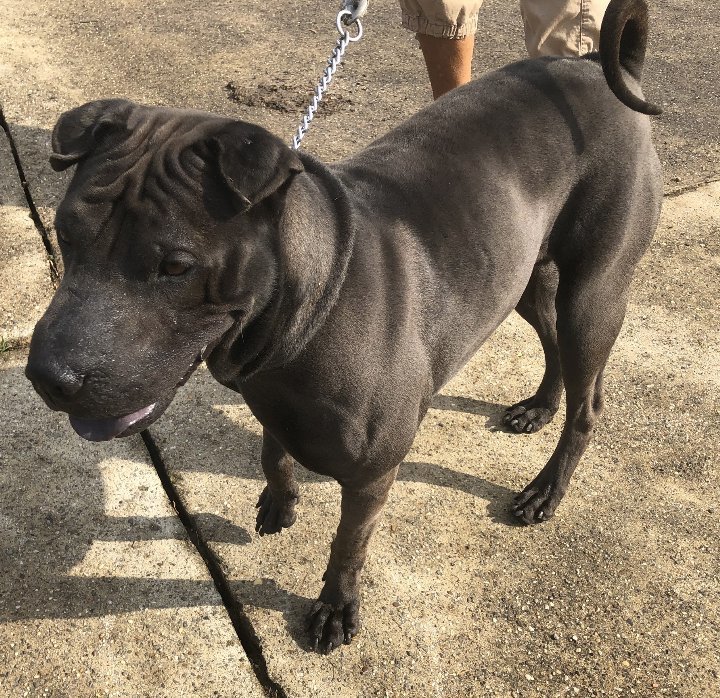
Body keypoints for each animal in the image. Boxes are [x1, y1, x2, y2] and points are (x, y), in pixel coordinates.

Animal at [26, 0, 660, 648]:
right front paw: (279, 502)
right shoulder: (271, 399)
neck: (310, 308)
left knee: (588, 400)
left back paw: (546, 489)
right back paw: (539, 406)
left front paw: (335, 606)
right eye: (65, 233)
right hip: (520, 275)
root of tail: (594, 65)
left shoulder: (371, 476)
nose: (47, 377)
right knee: (553, 342)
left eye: (175, 265)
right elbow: (273, 453)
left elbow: (348, 544)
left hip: (592, 293)